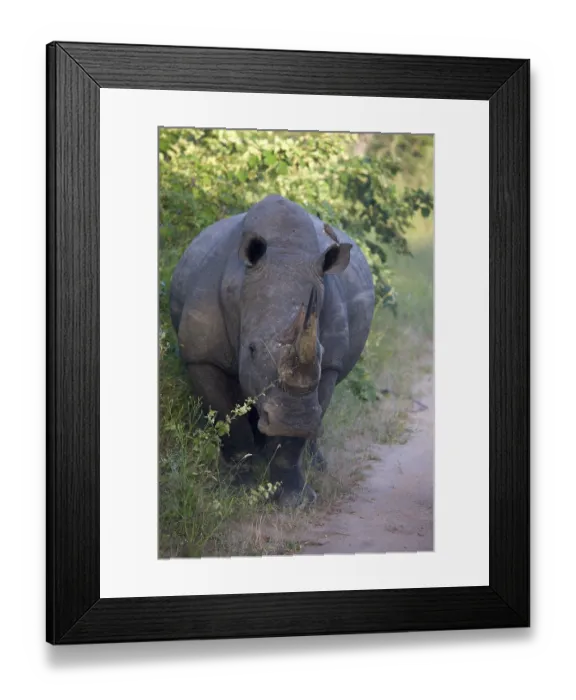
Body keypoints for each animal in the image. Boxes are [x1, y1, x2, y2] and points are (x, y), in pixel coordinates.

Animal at [169, 194, 375, 506]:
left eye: (321, 351)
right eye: (252, 349)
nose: (293, 420)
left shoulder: (329, 365)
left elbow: (296, 437)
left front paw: (296, 500)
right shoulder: (203, 358)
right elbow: (230, 422)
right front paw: (238, 491)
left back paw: (315, 466)